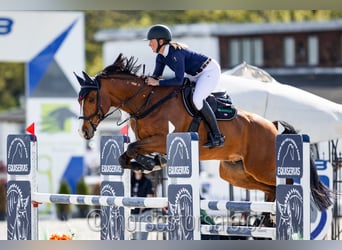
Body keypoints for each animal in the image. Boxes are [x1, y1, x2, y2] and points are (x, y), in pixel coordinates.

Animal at [76, 53, 332, 211]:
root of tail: (272, 126)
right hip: (236, 173)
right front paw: (150, 164)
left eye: (91, 98)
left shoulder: (162, 139)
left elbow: (131, 147)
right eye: (80, 99)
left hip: (262, 167)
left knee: (286, 183)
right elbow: (127, 154)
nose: (84, 133)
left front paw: (150, 163)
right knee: (270, 189)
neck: (147, 101)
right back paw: (267, 219)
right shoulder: (147, 140)